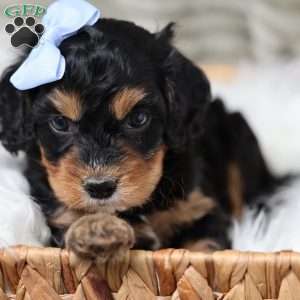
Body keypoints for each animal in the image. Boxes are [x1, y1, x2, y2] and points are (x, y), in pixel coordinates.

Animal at [0, 19, 276, 262]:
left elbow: (202, 248)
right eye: (59, 123)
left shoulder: (199, 209)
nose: (100, 187)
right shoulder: (60, 215)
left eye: (138, 118)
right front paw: (96, 230)